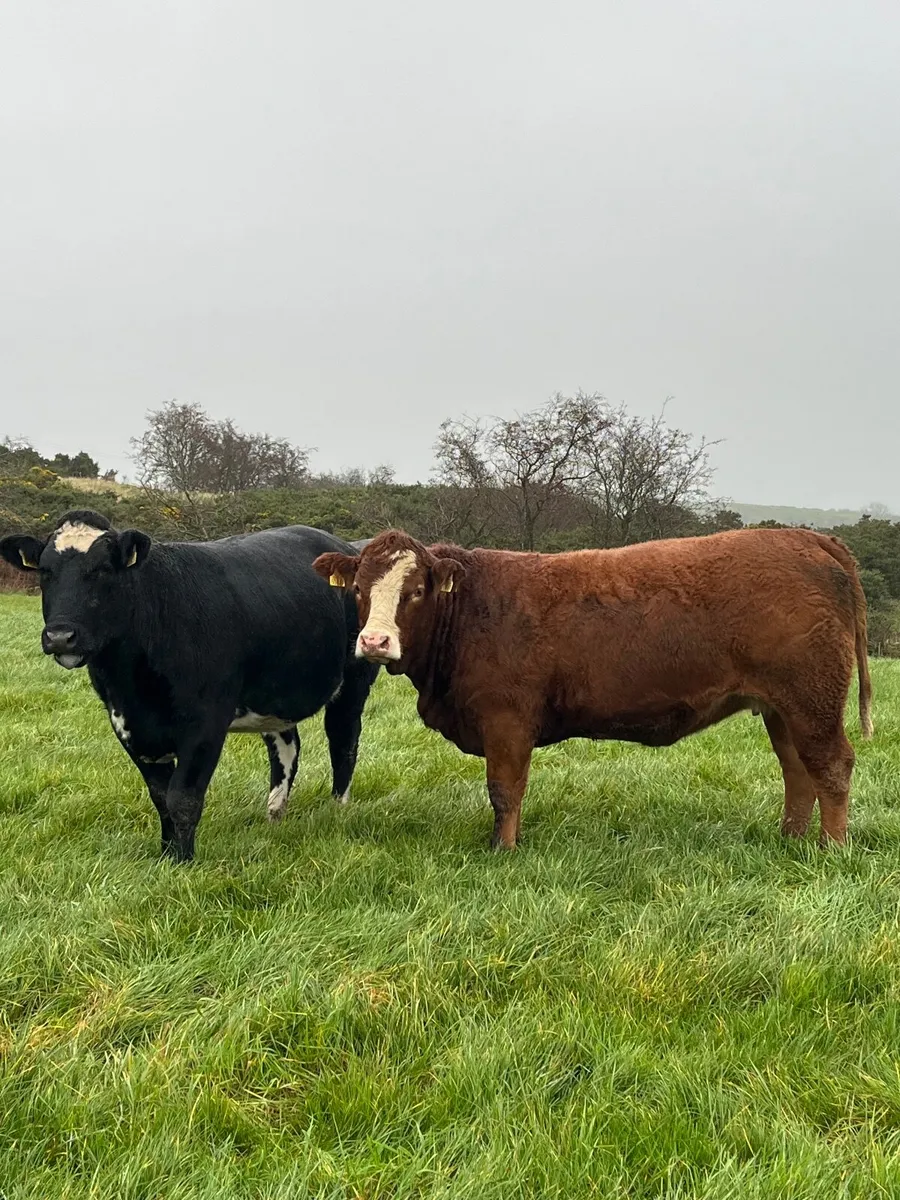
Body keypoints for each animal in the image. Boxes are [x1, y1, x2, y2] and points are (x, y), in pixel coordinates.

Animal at [1, 511, 380, 862]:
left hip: (354, 680)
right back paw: (274, 813)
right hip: (273, 695)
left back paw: (338, 809)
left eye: (103, 569)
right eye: (45, 571)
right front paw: (167, 854)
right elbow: (161, 798)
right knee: (286, 748)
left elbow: (183, 798)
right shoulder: (126, 723)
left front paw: (183, 862)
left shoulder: (206, 723)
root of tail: (342, 546)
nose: (60, 636)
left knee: (343, 742)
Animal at [312, 527, 873, 850]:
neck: (472, 611)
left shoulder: (507, 721)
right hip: (782, 707)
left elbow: (504, 790)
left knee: (831, 766)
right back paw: (791, 839)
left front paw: (502, 850)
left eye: (415, 591)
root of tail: (805, 537)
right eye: (358, 590)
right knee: (798, 770)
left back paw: (831, 849)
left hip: (812, 699)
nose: (374, 641)